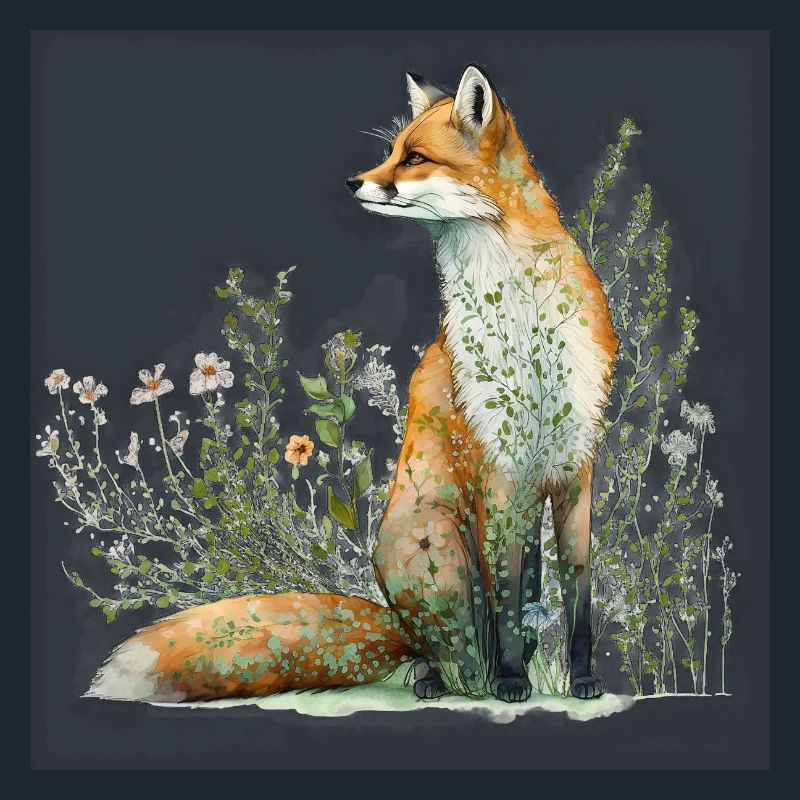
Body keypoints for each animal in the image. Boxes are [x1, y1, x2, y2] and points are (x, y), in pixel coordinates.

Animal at [87, 65, 617, 705]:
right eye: (390, 152)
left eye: (414, 157)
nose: (352, 181)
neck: (525, 323)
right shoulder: (498, 475)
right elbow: (507, 607)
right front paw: (513, 681)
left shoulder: (574, 469)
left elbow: (577, 598)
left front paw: (583, 678)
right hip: (439, 544)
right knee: (438, 649)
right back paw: (452, 680)